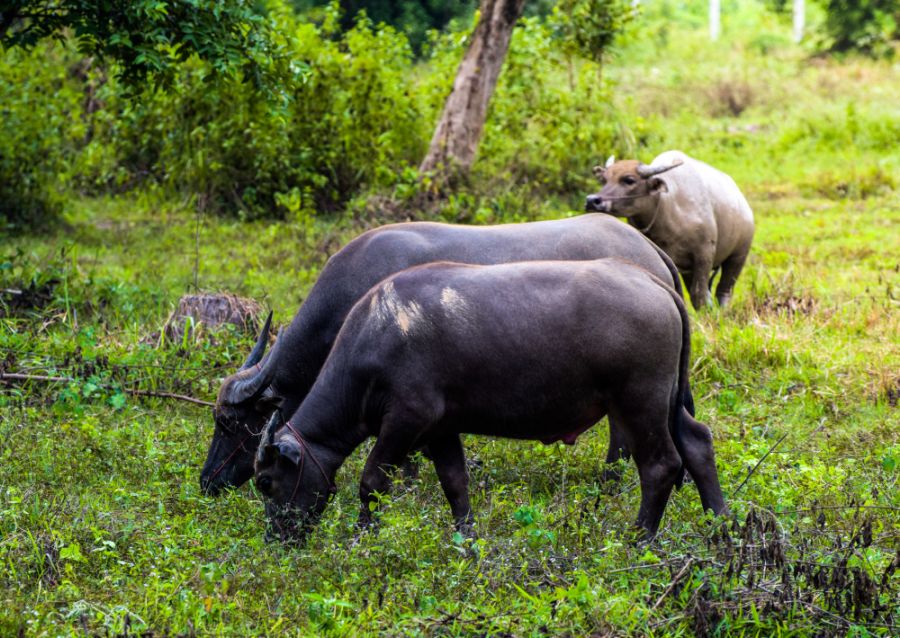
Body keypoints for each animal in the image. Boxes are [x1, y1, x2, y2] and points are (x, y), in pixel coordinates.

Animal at [251, 260, 724, 544]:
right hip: (667, 401)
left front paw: (364, 538)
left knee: (660, 466)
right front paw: (467, 542)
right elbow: (455, 486)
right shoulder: (441, 429)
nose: (275, 538)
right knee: (697, 443)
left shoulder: (406, 419)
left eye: (266, 482)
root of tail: (655, 283)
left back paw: (639, 537)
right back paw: (719, 526)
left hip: (640, 401)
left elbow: (371, 482)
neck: (376, 336)